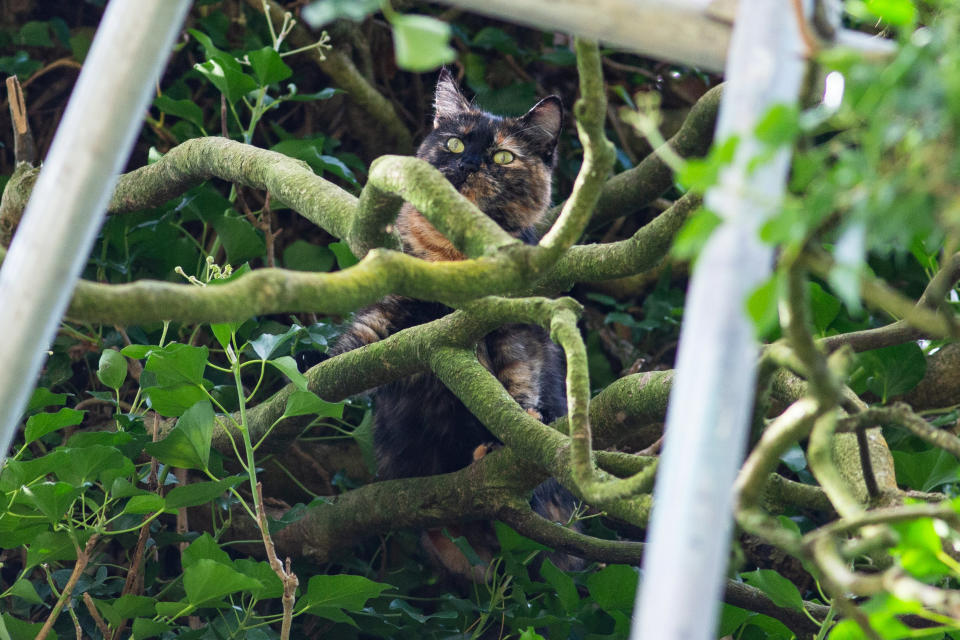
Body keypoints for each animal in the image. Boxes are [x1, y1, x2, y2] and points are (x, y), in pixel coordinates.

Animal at [334, 70, 580, 580]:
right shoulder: (396, 300)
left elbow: (514, 379)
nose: (468, 163)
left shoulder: (516, 327)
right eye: (454, 143)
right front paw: (319, 358)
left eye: (502, 156)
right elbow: (363, 337)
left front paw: (510, 425)